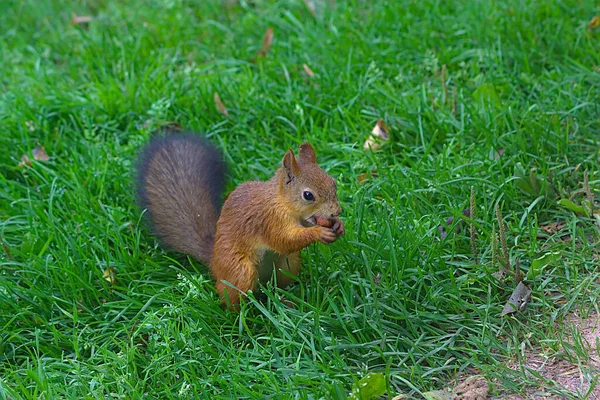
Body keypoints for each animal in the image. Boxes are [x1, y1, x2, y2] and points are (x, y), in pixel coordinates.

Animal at [135, 131, 342, 310]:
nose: (337, 211)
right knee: (233, 297)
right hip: (240, 271)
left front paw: (339, 226)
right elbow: (283, 240)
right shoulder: (268, 220)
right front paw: (318, 232)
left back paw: (285, 301)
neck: (282, 202)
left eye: (333, 182)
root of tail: (214, 260)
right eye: (308, 195)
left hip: (288, 264)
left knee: (276, 285)